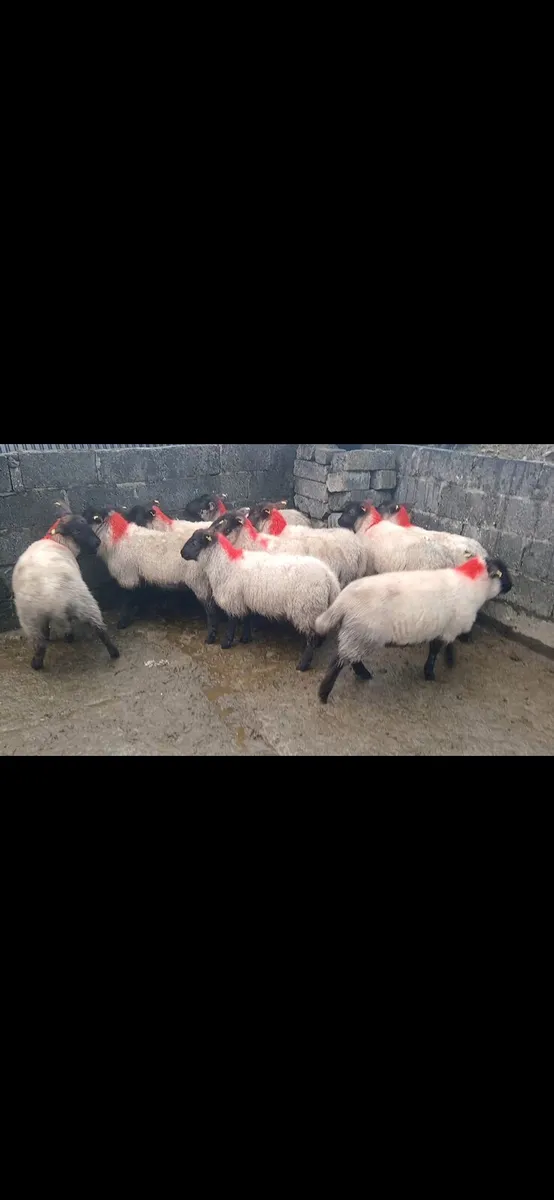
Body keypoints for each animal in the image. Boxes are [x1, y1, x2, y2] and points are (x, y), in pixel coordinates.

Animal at [12, 513, 120, 671]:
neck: (58, 541)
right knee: (98, 629)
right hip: (81, 603)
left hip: (32, 619)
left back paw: (37, 664)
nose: (97, 542)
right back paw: (113, 652)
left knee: (41, 644)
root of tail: (52, 596)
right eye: (76, 531)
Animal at [85, 509, 219, 642]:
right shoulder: (138, 576)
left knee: (211, 610)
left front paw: (123, 622)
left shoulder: (127, 575)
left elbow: (126, 599)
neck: (118, 538)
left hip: (199, 581)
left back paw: (211, 637)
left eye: (89, 517)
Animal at [181, 517, 341, 671]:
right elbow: (246, 619)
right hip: (316, 609)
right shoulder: (243, 599)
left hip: (306, 609)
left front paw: (226, 643)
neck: (223, 562)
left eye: (195, 542)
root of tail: (329, 577)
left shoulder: (232, 599)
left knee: (311, 638)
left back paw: (303, 664)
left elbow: (232, 622)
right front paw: (245, 639)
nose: (181, 553)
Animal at [315, 556, 513, 702]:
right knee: (339, 661)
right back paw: (324, 694)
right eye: (502, 573)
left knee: (351, 660)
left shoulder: (444, 628)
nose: (511, 586)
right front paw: (435, 670)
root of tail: (342, 601)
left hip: (357, 635)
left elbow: (442, 647)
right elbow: (437, 650)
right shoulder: (450, 627)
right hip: (361, 634)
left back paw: (363, 675)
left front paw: (446, 663)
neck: (473, 585)